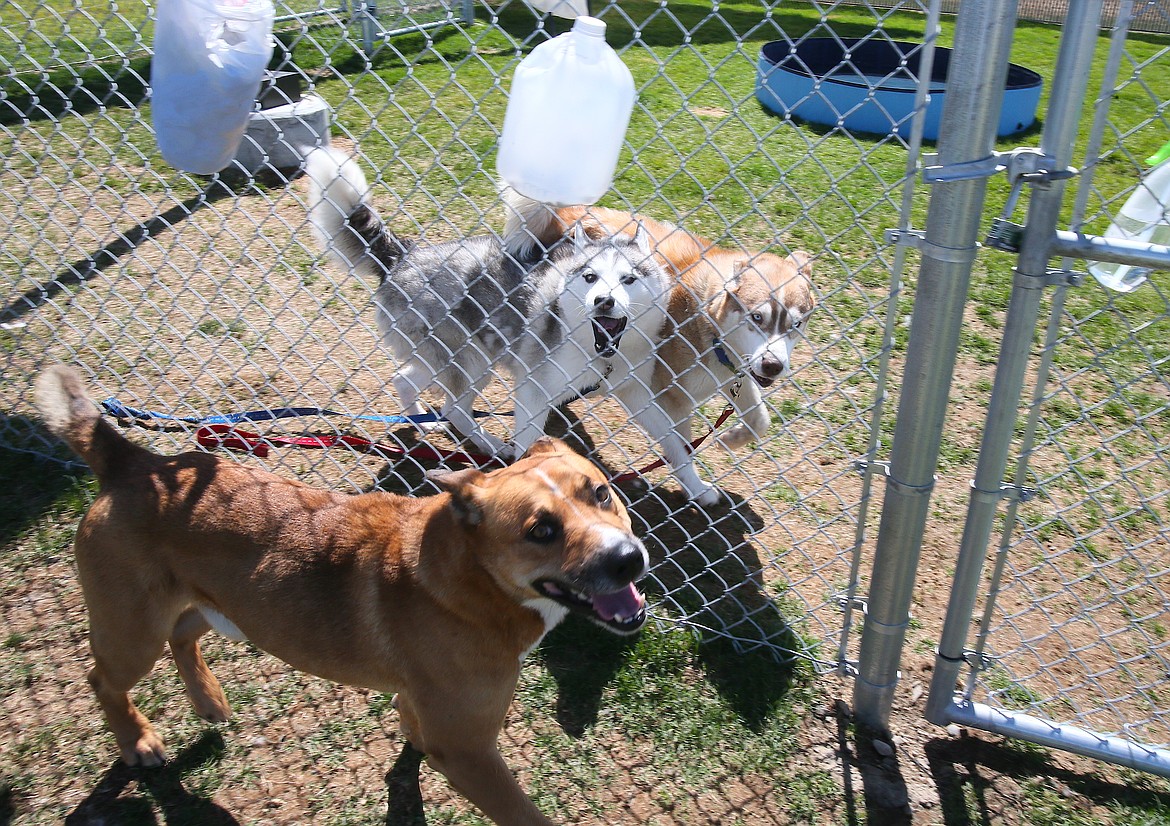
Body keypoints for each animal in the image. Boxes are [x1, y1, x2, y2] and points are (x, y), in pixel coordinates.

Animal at [36, 362, 655, 818]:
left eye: (601, 492)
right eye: (540, 530)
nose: (629, 560)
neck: (472, 582)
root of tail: (134, 461)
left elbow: (410, 732)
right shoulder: (468, 751)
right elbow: (523, 813)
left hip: (206, 604)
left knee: (183, 633)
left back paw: (208, 700)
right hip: (131, 628)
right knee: (102, 678)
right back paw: (137, 741)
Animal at [507, 194, 819, 500]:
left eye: (796, 324)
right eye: (757, 317)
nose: (773, 365)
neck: (708, 326)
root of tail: (569, 211)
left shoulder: (734, 373)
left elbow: (759, 419)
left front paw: (731, 440)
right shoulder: (672, 396)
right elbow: (682, 447)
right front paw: (693, 486)